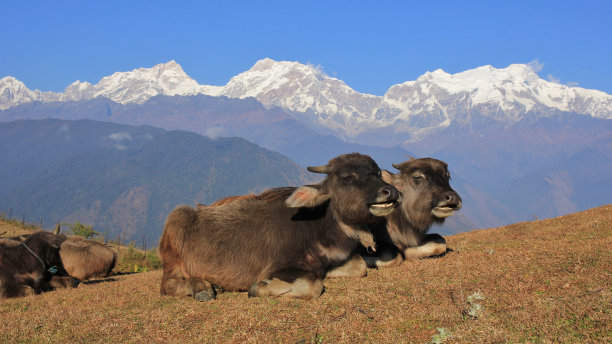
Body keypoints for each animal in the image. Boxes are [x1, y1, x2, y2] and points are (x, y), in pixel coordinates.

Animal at [158, 153, 400, 300]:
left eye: (378, 173)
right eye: (348, 177)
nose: (391, 192)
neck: (320, 228)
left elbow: (359, 266)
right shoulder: (279, 268)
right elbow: (312, 286)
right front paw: (260, 287)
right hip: (174, 246)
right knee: (167, 285)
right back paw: (204, 288)